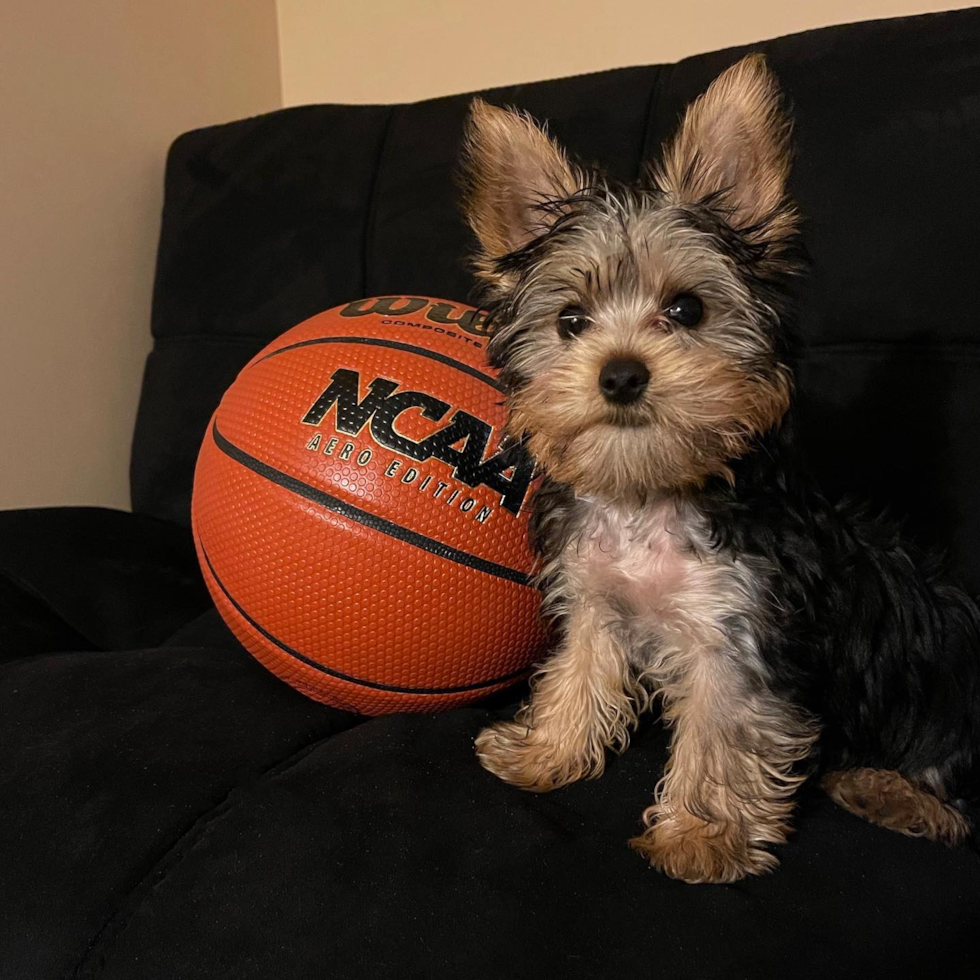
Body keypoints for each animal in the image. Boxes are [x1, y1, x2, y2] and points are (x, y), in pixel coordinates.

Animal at [460, 53, 980, 884]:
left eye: (687, 310)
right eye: (570, 321)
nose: (621, 374)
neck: (649, 492)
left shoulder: (736, 633)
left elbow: (721, 732)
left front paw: (702, 836)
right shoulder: (597, 597)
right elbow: (580, 669)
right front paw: (548, 749)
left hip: (944, 662)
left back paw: (895, 795)